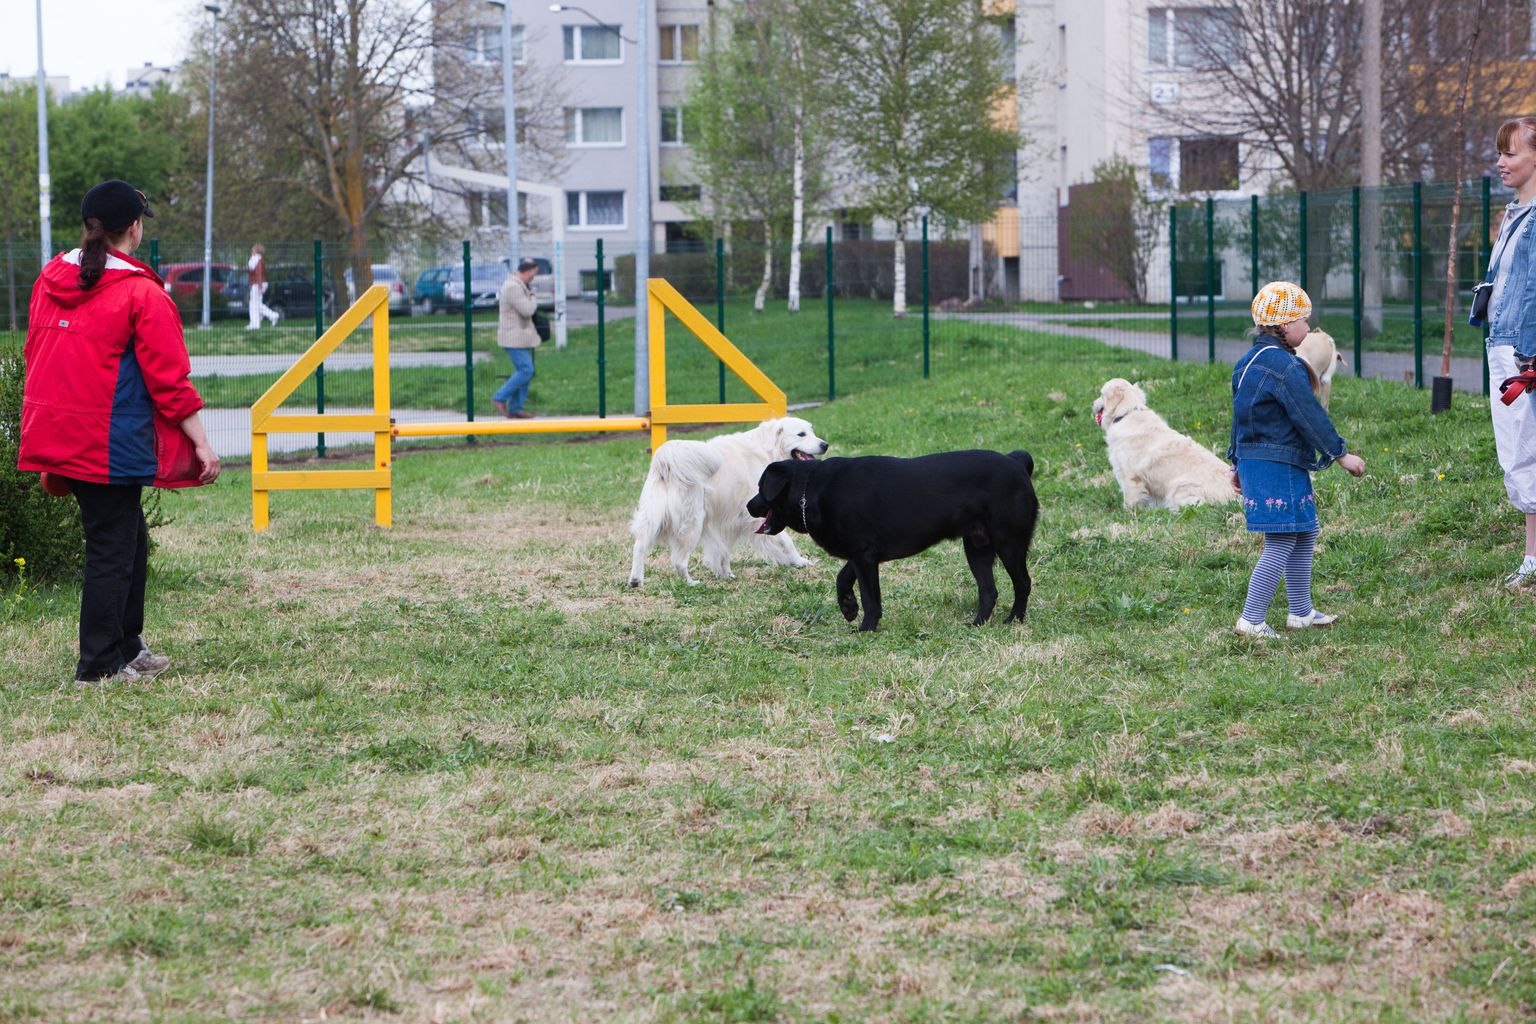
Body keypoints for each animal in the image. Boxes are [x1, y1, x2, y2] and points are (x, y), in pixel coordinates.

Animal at [740, 451, 1038, 629]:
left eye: (761, 488)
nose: (749, 505)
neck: (811, 489)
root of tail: (1016, 462)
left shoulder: (863, 556)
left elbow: (871, 598)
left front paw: (866, 628)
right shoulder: (863, 554)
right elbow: (842, 577)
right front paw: (848, 607)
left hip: (1009, 542)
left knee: (1022, 583)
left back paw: (1014, 620)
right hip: (977, 545)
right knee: (988, 590)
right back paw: (976, 624)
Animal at [1093, 380, 1234, 512]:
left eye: (1101, 394)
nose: (1092, 404)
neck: (1126, 413)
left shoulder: (1130, 476)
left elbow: (1130, 500)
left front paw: (1128, 513)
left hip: (1178, 487)